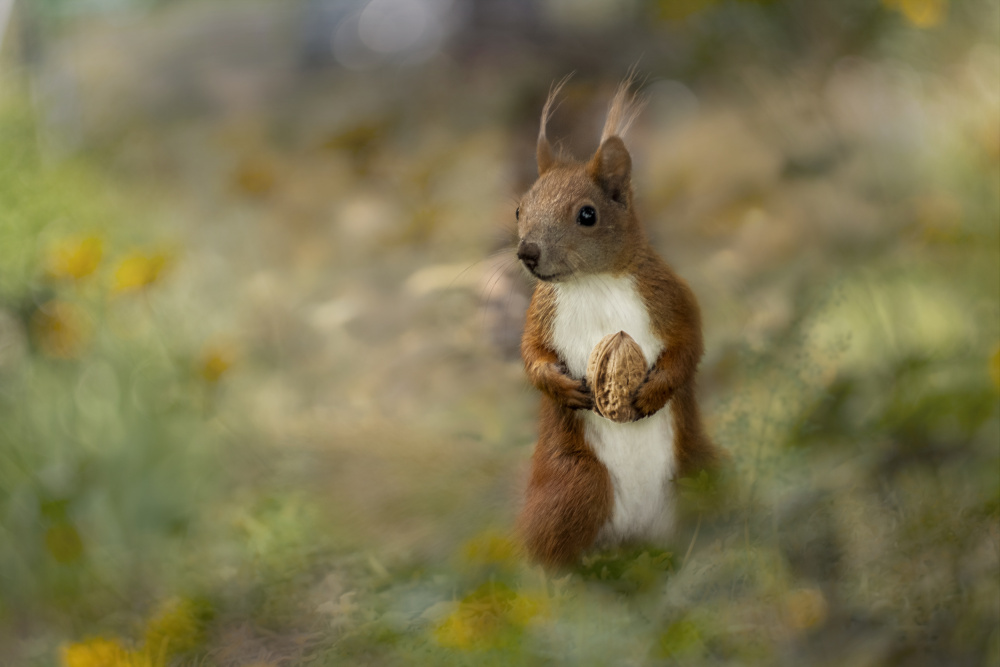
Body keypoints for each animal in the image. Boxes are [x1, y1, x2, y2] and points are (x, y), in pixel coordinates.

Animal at [516, 78, 720, 568]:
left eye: (587, 214)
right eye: (519, 209)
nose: (527, 252)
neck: (592, 283)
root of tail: (641, 532)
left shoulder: (668, 295)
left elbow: (689, 343)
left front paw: (653, 393)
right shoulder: (540, 315)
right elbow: (531, 354)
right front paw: (562, 387)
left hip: (700, 467)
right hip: (572, 485)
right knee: (552, 550)